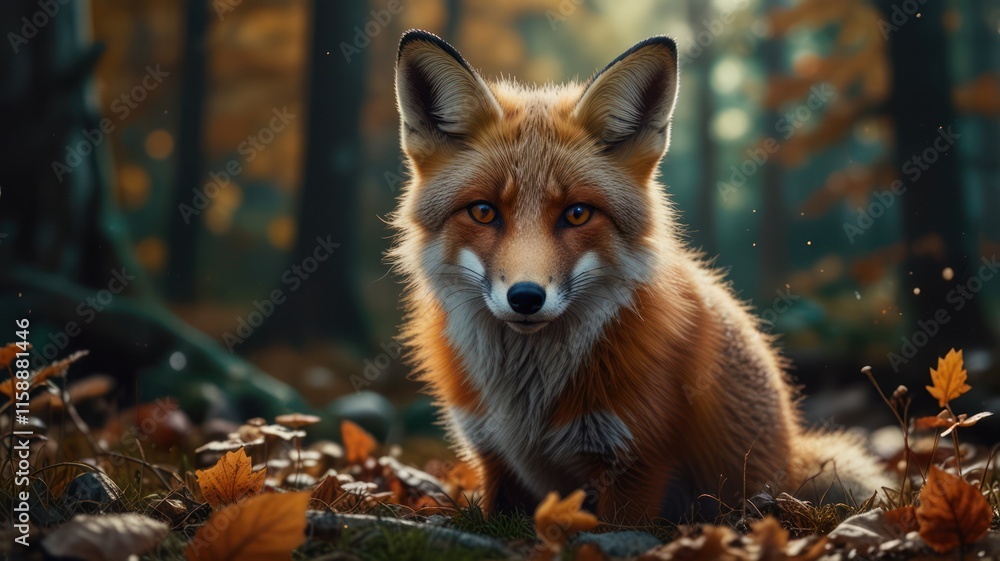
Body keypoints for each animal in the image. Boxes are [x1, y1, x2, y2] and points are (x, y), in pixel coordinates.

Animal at [389, 29, 890, 523]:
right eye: (483, 211)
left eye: (576, 214)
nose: (526, 297)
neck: (526, 400)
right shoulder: (494, 459)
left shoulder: (635, 461)